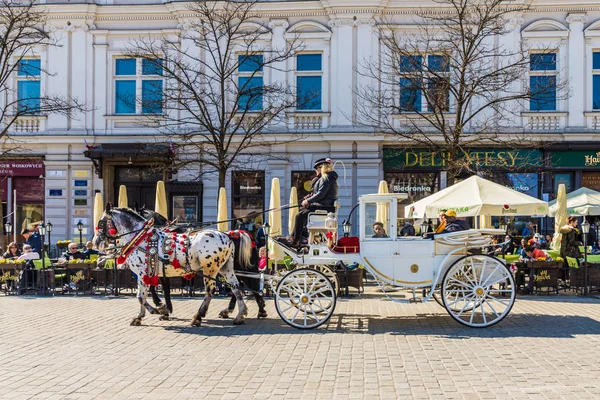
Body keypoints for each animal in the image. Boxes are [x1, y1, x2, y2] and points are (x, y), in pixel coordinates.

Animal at [94, 205, 253, 326]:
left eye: (101, 223)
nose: (95, 242)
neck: (140, 238)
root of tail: (228, 235)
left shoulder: (143, 272)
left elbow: (142, 296)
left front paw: (159, 309)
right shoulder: (149, 273)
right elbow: (146, 294)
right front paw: (141, 316)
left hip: (211, 269)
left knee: (210, 291)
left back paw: (198, 317)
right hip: (226, 268)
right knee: (236, 287)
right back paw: (239, 315)